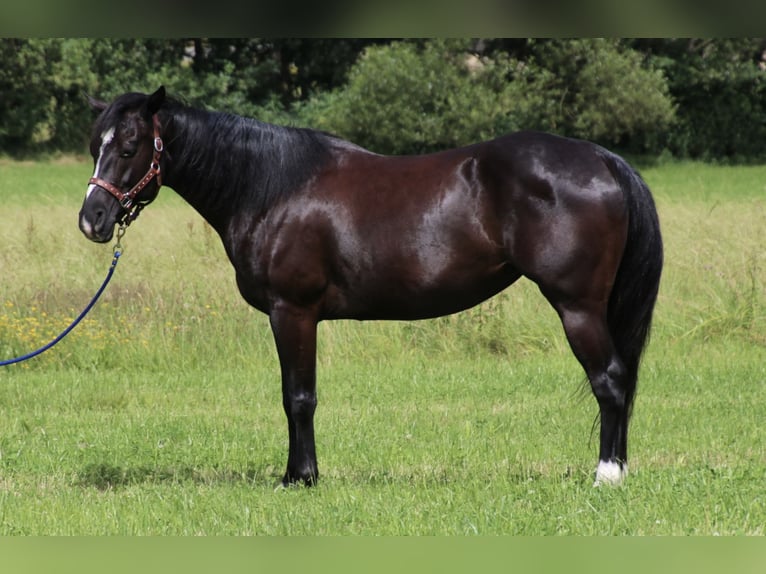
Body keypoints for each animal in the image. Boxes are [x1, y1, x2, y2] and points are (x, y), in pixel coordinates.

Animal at [81, 88, 664, 488]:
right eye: (95, 146)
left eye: (130, 146)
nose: (93, 219)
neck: (272, 187)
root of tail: (600, 159)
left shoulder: (291, 312)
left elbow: (298, 397)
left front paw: (300, 477)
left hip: (577, 306)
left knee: (611, 380)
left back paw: (607, 475)